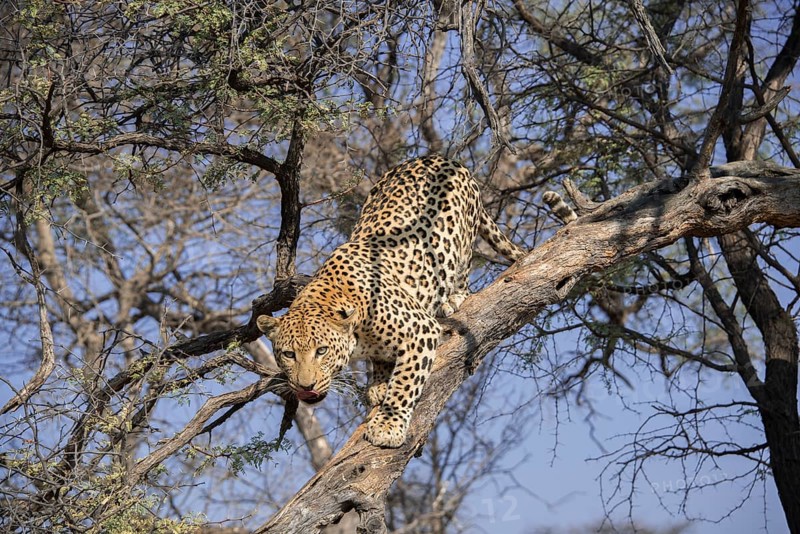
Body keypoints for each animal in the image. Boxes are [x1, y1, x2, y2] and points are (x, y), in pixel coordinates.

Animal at [257, 154, 525, 448]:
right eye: (289, 354)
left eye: (322, 351)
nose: (306, 387)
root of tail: (442, 157)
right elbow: (383, 363)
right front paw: (379, 383)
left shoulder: (420, 330)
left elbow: (404, 385)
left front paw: (388, 425)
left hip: (461, 240)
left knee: (463, 269)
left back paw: (453, 298)